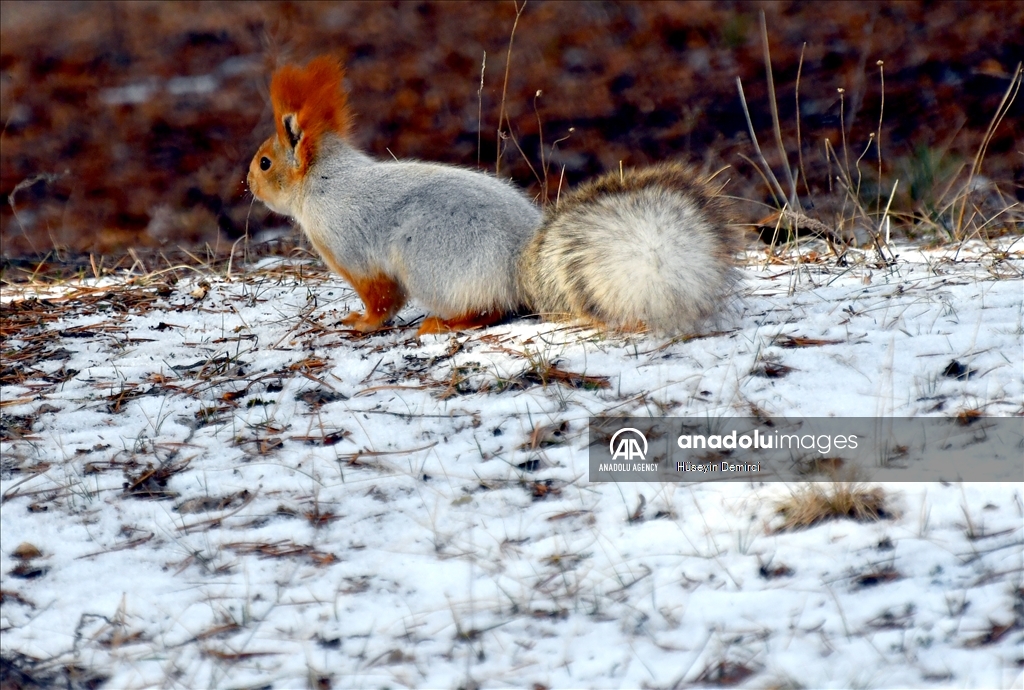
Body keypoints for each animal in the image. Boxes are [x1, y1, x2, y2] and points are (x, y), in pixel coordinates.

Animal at [247, 55, 737, 333]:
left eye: (265, 163)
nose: (247, 184)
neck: (324, 183)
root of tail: (520, 268)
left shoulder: (351, 250)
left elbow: (382, 298)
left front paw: (362, 323)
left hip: (428, 263)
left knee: (487, 312)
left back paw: (441, 325)